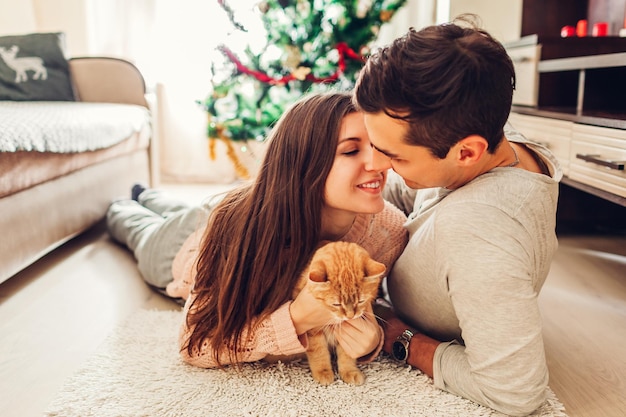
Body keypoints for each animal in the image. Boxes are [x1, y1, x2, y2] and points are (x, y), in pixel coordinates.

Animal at [268, 242, 386, 386]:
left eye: (361, 301)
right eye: (336, 304)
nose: (350, 316)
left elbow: (347, 355)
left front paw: (349, 372)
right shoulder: (313, 332)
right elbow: (319, 353)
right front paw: (323, 373)